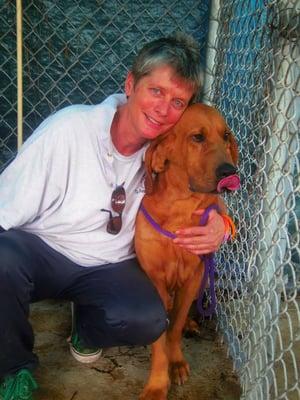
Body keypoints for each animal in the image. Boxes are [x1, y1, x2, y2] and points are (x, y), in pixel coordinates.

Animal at [135, 103, 238, 400]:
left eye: (226, 136)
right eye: (198, 137)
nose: (230, 171)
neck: (181, 208)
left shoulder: (193, 276)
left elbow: (175, 328)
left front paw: (177, 362)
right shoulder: (154, 281)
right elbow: (160, 338)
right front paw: (157, 384)